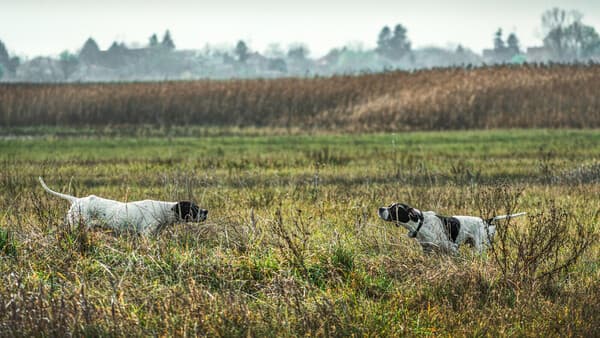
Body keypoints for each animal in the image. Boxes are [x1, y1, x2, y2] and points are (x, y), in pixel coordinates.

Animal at [39, 177, 207, 235]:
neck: (164, 210)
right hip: (76, 225)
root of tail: (77, 200)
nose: (206, 211)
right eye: (194, 208)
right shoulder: (146, 234)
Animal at [380, 202, 524, 252]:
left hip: (480, 247)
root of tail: (486, 221)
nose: (380, 208)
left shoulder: (452, 248)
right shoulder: (428, 250)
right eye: (389, 205)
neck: (420, 224)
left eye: (394, 209)